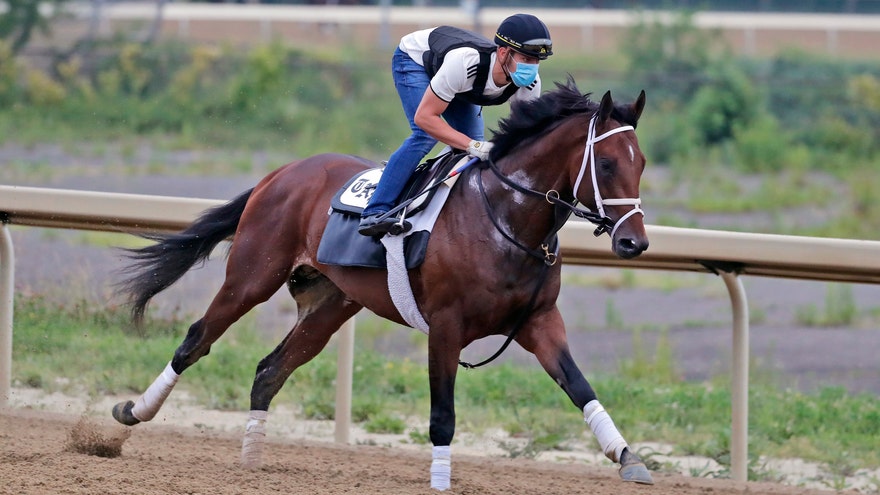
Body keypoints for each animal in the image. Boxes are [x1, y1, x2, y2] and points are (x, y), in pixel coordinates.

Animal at [110, 78, 651, 490]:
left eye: (641, 163)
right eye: (606, 164)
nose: (635, 242)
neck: (506, 220)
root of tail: (281, 173)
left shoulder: (538, 321)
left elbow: (580, 387)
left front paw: (629, 457)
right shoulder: (446, 326)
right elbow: (442, 413)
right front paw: (440, 480)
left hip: (331, 304)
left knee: (269, 370)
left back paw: (251, 458)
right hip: (251, 277)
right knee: (196, 341)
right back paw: (130, 414)